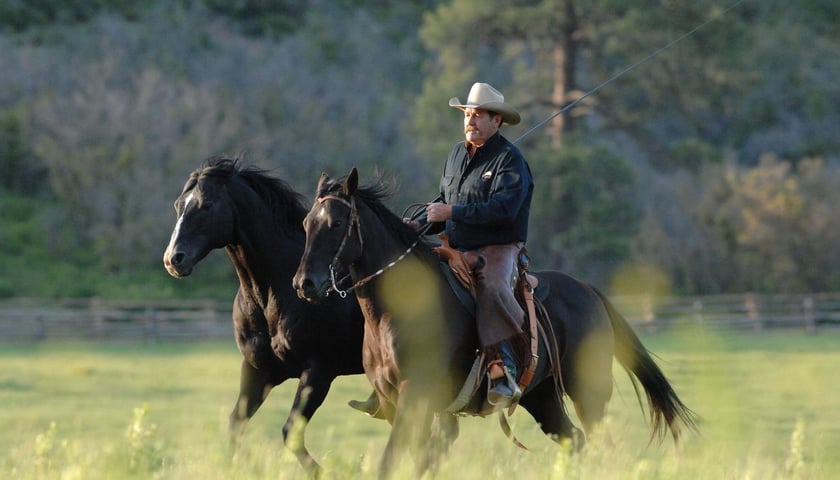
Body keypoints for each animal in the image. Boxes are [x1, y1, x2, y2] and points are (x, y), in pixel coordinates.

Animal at [161, 158, 364, 476]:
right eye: (178, 205)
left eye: (206, 205)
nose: (173, 259)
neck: (272, 292)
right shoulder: (260, 370)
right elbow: (235, 425)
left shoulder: (318, 373)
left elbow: (291, 433)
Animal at [292, 168, 700, 476]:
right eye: (307, 222)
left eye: (337, 222)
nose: (304, 283)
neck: (400, 308)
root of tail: (588, 290)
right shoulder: (396, 403)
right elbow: (420, 460)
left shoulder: (415, 395)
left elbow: (393, 461)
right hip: (542, 397)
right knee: (575, 441)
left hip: (589, 392)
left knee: (601, 446)